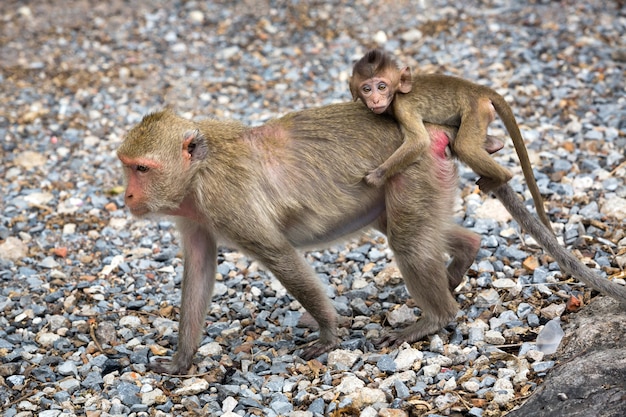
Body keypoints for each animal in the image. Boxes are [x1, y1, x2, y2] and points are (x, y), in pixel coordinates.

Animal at [117, 101, 624, 374]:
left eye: (142, 169)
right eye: (128, 166)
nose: (126, 195)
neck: (198, 174)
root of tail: (435, 130)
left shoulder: (226, 202)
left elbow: (280, 256)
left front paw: (327, 332)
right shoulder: (196, 215)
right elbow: (199, 270)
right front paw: (181, 360)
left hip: (415, 170)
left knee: (407, 242)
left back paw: (435, 317)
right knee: (407, 230)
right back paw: (464, 254)